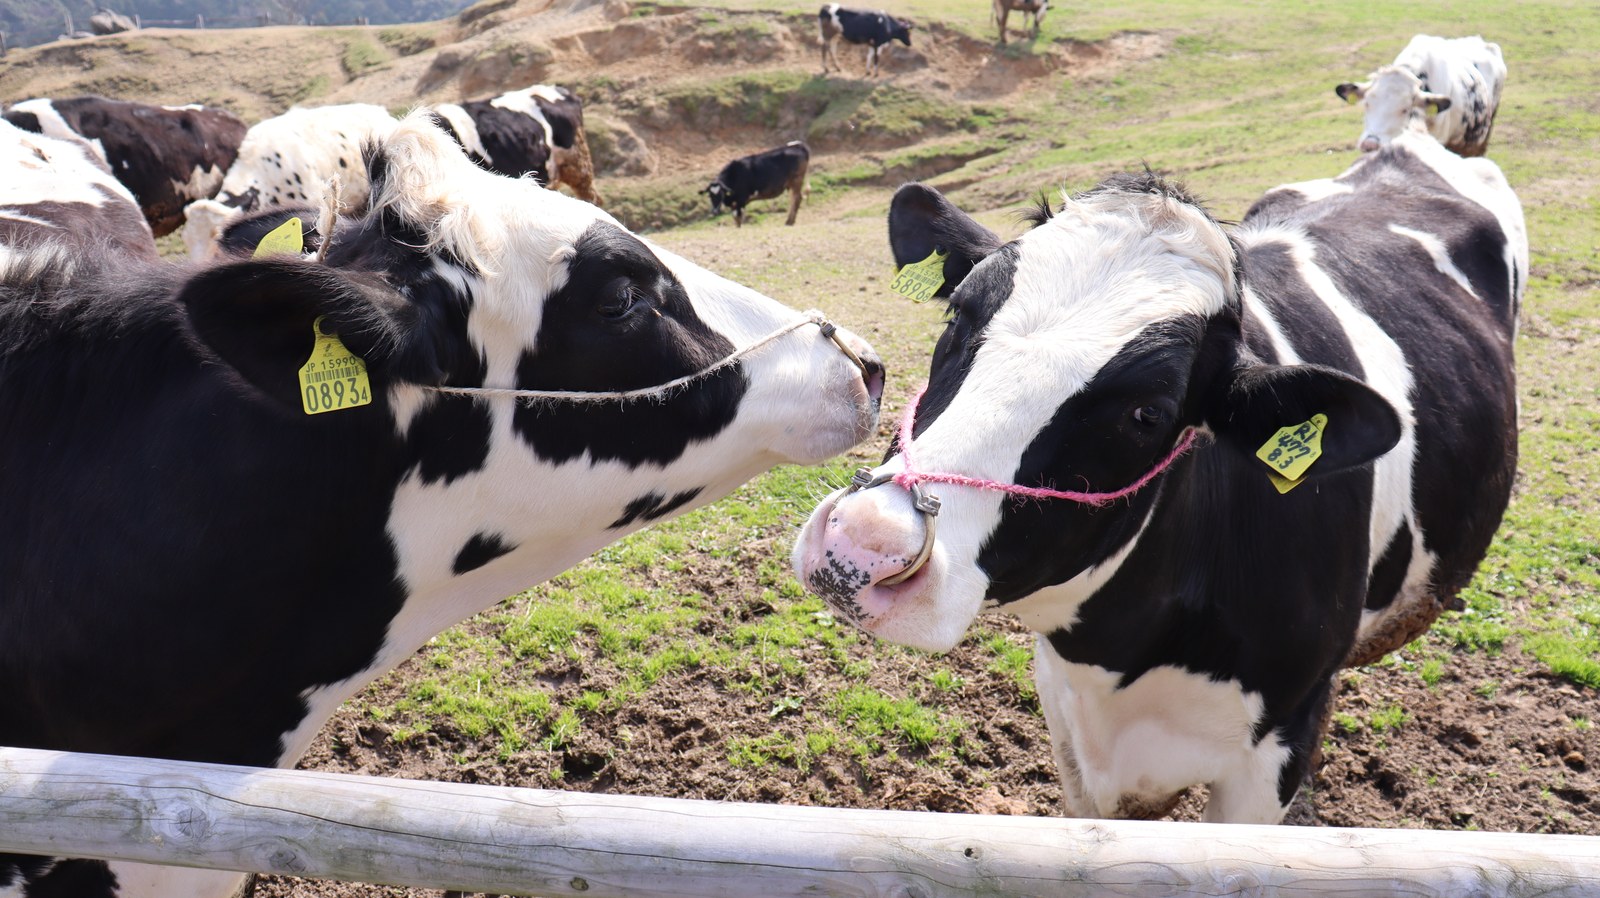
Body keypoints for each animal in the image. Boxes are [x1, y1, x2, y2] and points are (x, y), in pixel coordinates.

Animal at [794, 129, 1526, 824]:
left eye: (1149, 413)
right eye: (957, 316)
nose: (861, 545)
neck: (1121, 653)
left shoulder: (1274, 751)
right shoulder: (1066, 720)